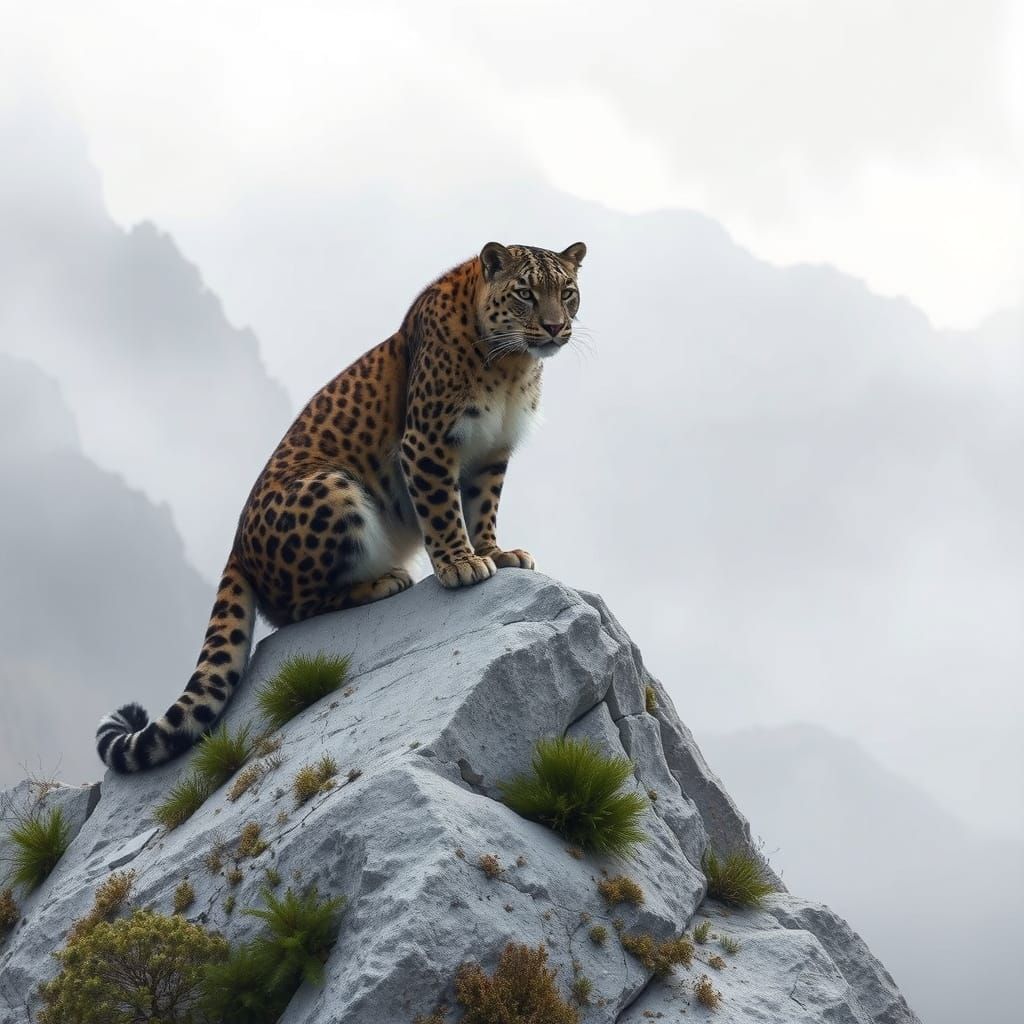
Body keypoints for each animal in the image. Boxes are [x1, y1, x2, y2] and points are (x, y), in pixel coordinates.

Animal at [96, 240, 586, 772]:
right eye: (524, 294)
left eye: (567, 292)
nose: (556, 326)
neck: (512, 364)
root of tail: (235, 546)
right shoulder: (426, 443)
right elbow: (442, 510)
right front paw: (460, 565)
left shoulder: (491, 453)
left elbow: (482, 511)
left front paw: (495, 552)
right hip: (332, 487)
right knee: (295, 611)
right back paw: (382, 582)